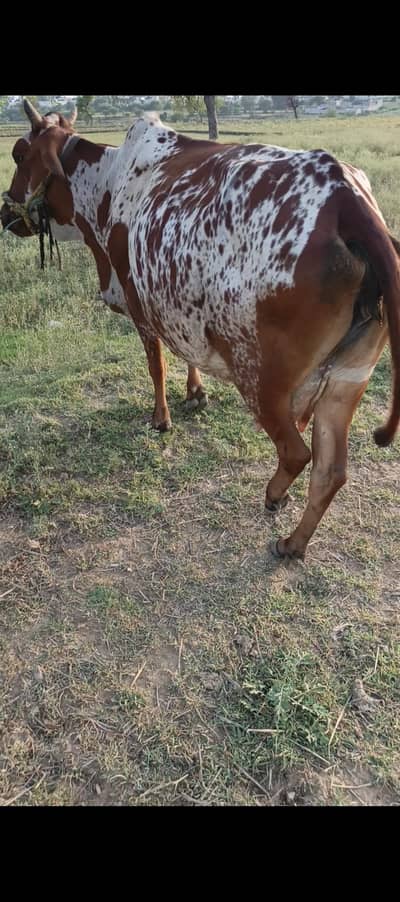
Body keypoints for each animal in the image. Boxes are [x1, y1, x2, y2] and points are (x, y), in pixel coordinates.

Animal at [2, 99, 400, 560]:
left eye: (19, 155)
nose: (5, 212)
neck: (107, 183)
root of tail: (348, 201)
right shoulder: (171, 302)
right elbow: (183, 352)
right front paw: (196, 392)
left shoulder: (139, 302)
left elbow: (156, 365)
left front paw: (161, 418)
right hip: (346, 381)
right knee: (331, 471)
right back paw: (294, 543)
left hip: (261, 379)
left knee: (296, 453)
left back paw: (274, 495)